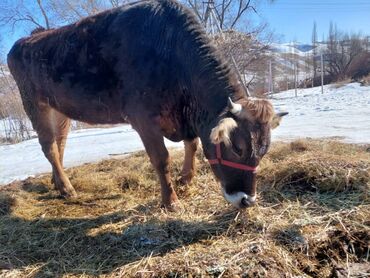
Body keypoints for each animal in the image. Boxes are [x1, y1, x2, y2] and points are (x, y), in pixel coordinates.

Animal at [7, 0, 288, 208]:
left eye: (264, 150)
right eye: (238, 148)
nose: (247, 201)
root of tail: (23, 42)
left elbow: (193, 144)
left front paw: (186, 179)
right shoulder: (143, 118)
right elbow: (161, 159)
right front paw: (171, 202)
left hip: (60, 109)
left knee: (60, 144)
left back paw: (58, 182)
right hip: (33, 102)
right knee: (49, 146)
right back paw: (67, 188)